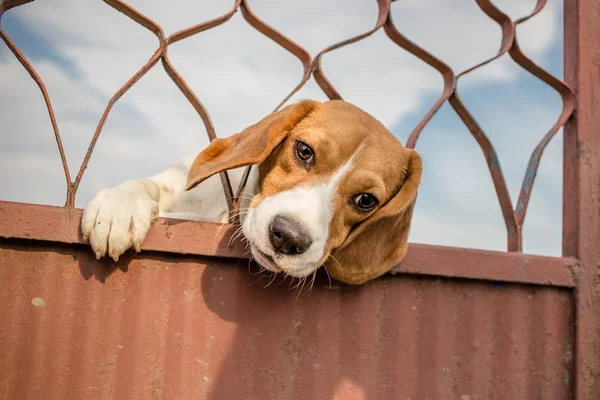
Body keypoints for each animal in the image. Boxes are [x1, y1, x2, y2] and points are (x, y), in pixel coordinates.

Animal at [81, 99, 422, 284]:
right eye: (304, 151)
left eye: (366, 200)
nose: (288, 238)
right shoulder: (173, 183)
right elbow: (146, 185)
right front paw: (119, 206)